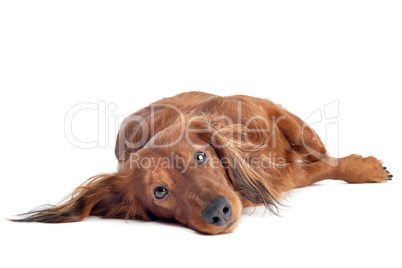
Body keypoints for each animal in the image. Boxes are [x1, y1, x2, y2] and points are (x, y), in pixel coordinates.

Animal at [10, 91, 392, 233]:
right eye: (160, 192)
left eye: (200, 156)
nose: (219, 211)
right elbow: (320, 167)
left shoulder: (278, 121)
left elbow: (326, 161)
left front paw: (364, 168)